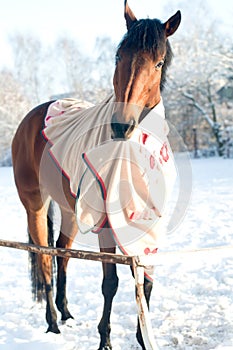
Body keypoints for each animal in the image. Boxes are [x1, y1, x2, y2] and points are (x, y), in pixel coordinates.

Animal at [10, 1, 181, 348]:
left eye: (158, 63)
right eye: (119, 57)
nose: (121, 125)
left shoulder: (147, 222)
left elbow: (145, 280)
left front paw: (143, 337)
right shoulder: (105, 223)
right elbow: (110, 282)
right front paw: (105, 339)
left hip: (69, 210)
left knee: (62, 253)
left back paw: (65, 312)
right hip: (36, 205)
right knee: (45, 259)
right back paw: (52, 323)